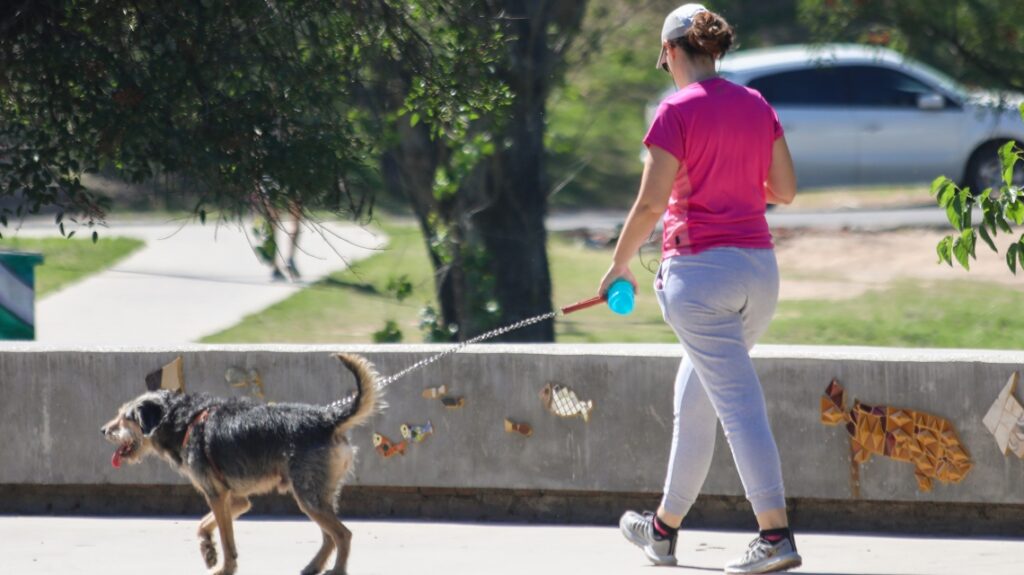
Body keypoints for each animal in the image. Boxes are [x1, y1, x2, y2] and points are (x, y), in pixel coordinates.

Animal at [101, 351, 382, 572]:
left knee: (342, 534)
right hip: (319, 494)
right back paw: (313, 566)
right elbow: (204, 524)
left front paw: (225, 567)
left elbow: (227, 541)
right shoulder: (235, 499)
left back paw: (336, 570)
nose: (103, 430)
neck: (184, 420)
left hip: (308, 496)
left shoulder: (216, 495)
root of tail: (328, 418)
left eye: (126, 418)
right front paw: (208, 549)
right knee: (329, 537)